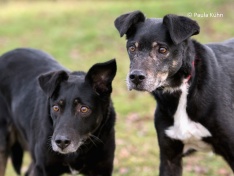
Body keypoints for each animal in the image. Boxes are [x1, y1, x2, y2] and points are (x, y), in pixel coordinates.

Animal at [0, 48, 117, 176]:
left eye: (84, 109)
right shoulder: (43, 169)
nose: (61, 142)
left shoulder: (102, 169)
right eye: (55, 108)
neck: (79, 150)